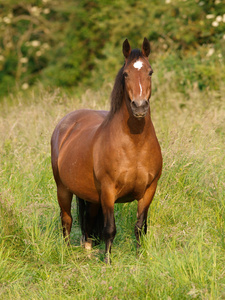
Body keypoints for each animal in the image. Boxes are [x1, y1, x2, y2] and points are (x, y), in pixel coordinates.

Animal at [51, 37, 162, 262]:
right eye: (126, 73)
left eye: (150, 72)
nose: (139, 107)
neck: (135, 145)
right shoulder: (109, 190)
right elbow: (110, 229)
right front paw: (108, 261)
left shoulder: (149, 190)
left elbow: (140, 227)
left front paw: (140, 257)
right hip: (63, 189)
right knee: (66, 220)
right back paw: (66, 253)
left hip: (92, 196)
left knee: (89, 218)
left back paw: (87, 246)